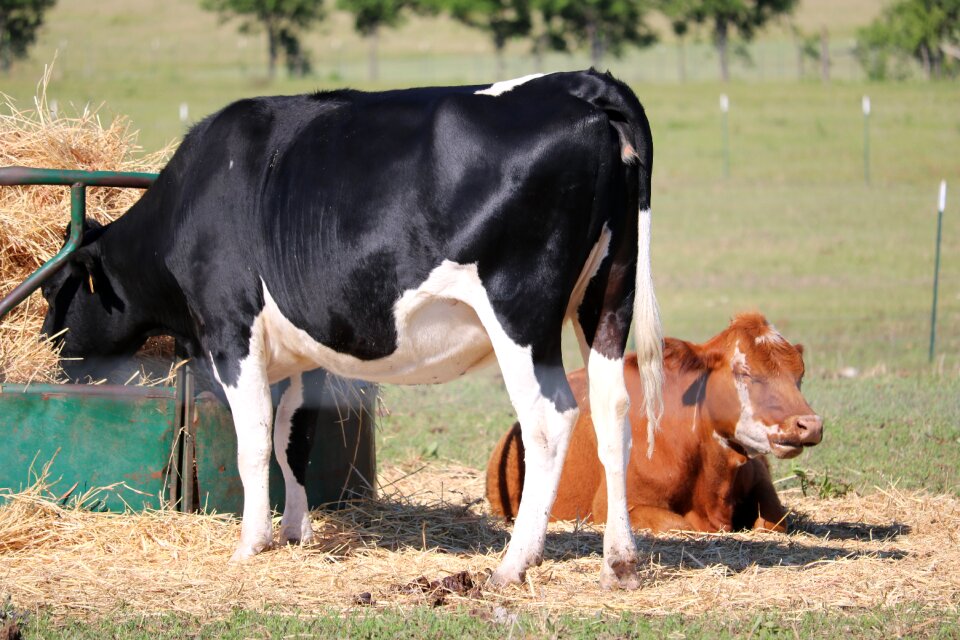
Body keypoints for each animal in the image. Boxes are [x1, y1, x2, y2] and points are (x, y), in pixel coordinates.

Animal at [41, 71, 664, 592]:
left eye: (54, 292)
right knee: (613, 411)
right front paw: (295, 531)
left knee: (551, 418)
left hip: (519, 309)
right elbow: (292, 438)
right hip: (608, 297)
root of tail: (579, 83)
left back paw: (514, 563)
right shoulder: (307, 350)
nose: (52, 354)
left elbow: (253, 441)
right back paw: (620, 562)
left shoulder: (230, 330)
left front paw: (251, 543)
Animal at [488, 312, 824, 532]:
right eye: (744, 371)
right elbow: (682, 526)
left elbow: (773, 523)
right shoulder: (614, 506)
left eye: (800, 376)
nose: (809, 424)